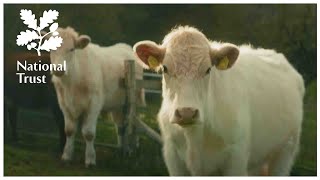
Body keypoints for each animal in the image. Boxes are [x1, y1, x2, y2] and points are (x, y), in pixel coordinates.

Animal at [47, 27, 145, 167]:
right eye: (51, 49)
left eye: (71, 49)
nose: (58, 69)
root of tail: (125, 46)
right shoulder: (64, 104)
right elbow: (69, 130)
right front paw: (66, 156)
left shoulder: (94, 104)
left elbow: (88, 133)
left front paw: (90, 159)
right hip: (117, 105)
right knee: (120, 126)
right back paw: (121, 150)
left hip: (136, 100)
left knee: (135, 123)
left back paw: (133, 149)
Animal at [133, 26, 304, 175]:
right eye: (165, 68)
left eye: (208, 69)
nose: (187, 112)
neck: (195, 137)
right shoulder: (173, 158)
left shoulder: (236, 159)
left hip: (285, 151)